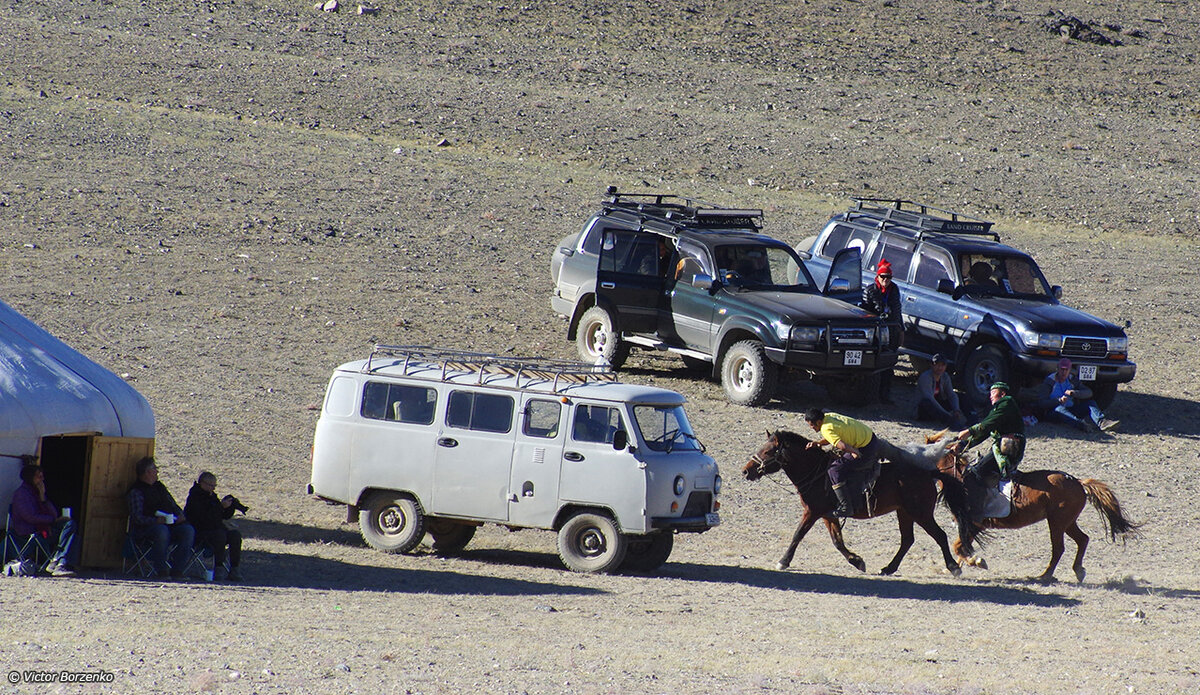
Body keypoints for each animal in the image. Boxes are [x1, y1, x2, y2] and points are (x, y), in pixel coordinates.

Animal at [739, 429, 964, 576]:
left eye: (768, 451)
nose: (746, 471)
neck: (817, 472)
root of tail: (929, 473)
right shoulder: (828, 515)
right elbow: (837, 541)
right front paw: (857, 562)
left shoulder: (812, 512)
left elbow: (798, 535)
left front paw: (783, 561)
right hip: (905, 513)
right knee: (907, 540)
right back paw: (888, 568)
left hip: (920, 513)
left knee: (939, 535)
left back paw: (954, 567)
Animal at [931, 434, 1137, 580]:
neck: (962, 480)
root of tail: (1078, 482)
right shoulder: (969, 526)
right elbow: (962, 547)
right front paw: (957, 567)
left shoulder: (974, 524)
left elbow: (960, 547)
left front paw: (976, 562)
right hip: (1067, 522)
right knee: (1082, 539)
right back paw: (1078, 570)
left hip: (1057, 523)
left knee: (1059, 548)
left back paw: (1045, 576)